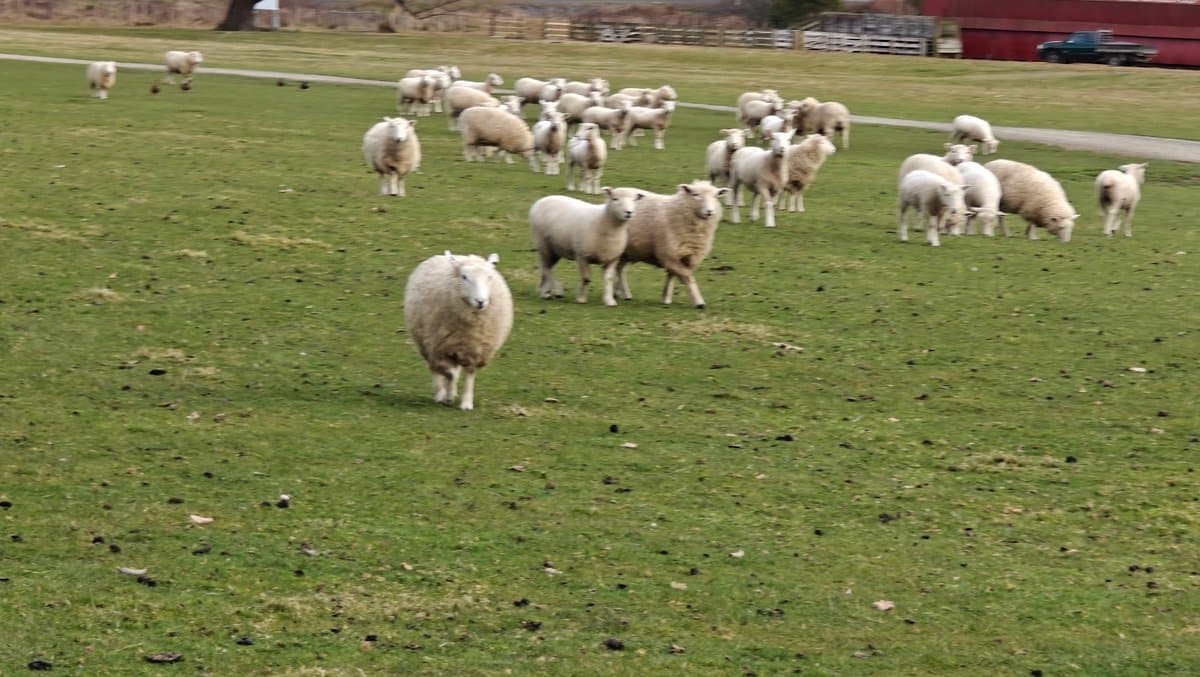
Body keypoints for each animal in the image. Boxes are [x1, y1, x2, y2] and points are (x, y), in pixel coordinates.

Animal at [403, 251, 512, 411]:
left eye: (489, 277)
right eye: (464, 277)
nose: (480, 301)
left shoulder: (475, 350)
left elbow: (468, 376)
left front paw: (466, 403)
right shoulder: (440, 348)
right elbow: (451, 374)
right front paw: (448, 396)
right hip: (426, 341)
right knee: (434, 368)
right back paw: (440, 393)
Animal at [616, 180, 729, 309]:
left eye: (716, 196)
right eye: (695, 194)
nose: (709, 211)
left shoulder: (681, 254)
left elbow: (671, 275)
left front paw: (666, 298)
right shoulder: (669, 252)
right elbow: (687, 276)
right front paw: (699, 302)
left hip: (628, 250)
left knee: (620, 268)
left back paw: (619, 293)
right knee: (619, 269)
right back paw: (624, 293)